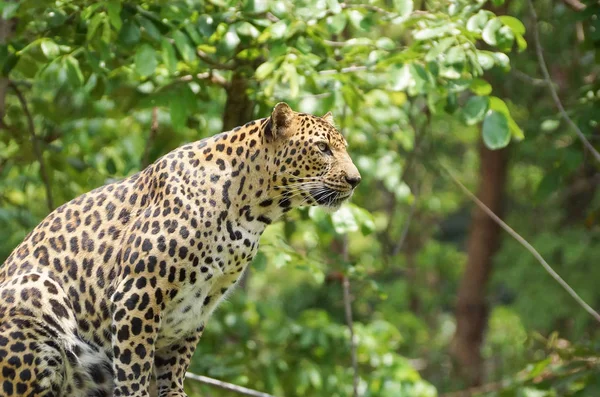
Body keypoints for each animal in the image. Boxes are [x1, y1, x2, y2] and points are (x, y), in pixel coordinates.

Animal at [0, 103, 360, 396]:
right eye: (323, 148)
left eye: (342, 148)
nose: (355, 180)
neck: (252, 211)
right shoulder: (138, 292)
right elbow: (134, 365)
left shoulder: (196, 307)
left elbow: (174, 364)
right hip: (38, 293)